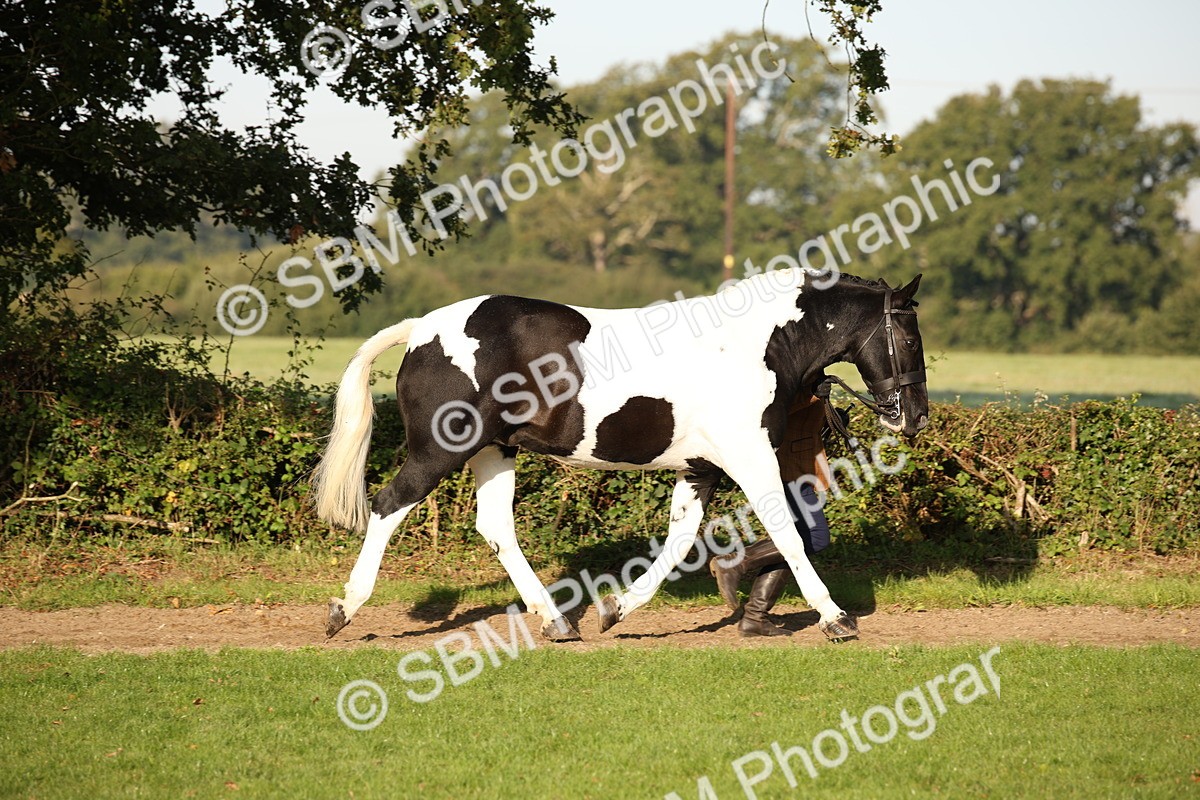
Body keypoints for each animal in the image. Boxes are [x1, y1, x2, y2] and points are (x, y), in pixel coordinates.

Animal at [313, 268, 929, 642]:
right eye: (911, 338)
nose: (915, 415)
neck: (758, 345)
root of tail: (423, 329)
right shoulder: (750, 459)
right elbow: (787, 533)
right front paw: (836, 618)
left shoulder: (700, 469)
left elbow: (680, 540)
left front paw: (616, 609)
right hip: (439, 451)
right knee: (388, 505)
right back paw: (344, 609)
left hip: (494, 450)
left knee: (496, 529)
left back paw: (557, 621)